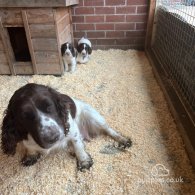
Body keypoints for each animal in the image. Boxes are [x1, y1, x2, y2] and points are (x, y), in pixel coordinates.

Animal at [0, 83, 132, 171]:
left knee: (108, 129)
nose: (53, 137)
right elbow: (30, 148)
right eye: (25, 117)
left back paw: (123, 140)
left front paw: (84, 161)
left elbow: (78, 147)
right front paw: (30, 156)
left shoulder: (72, 131)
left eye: (49, 107)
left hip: (93, 117)